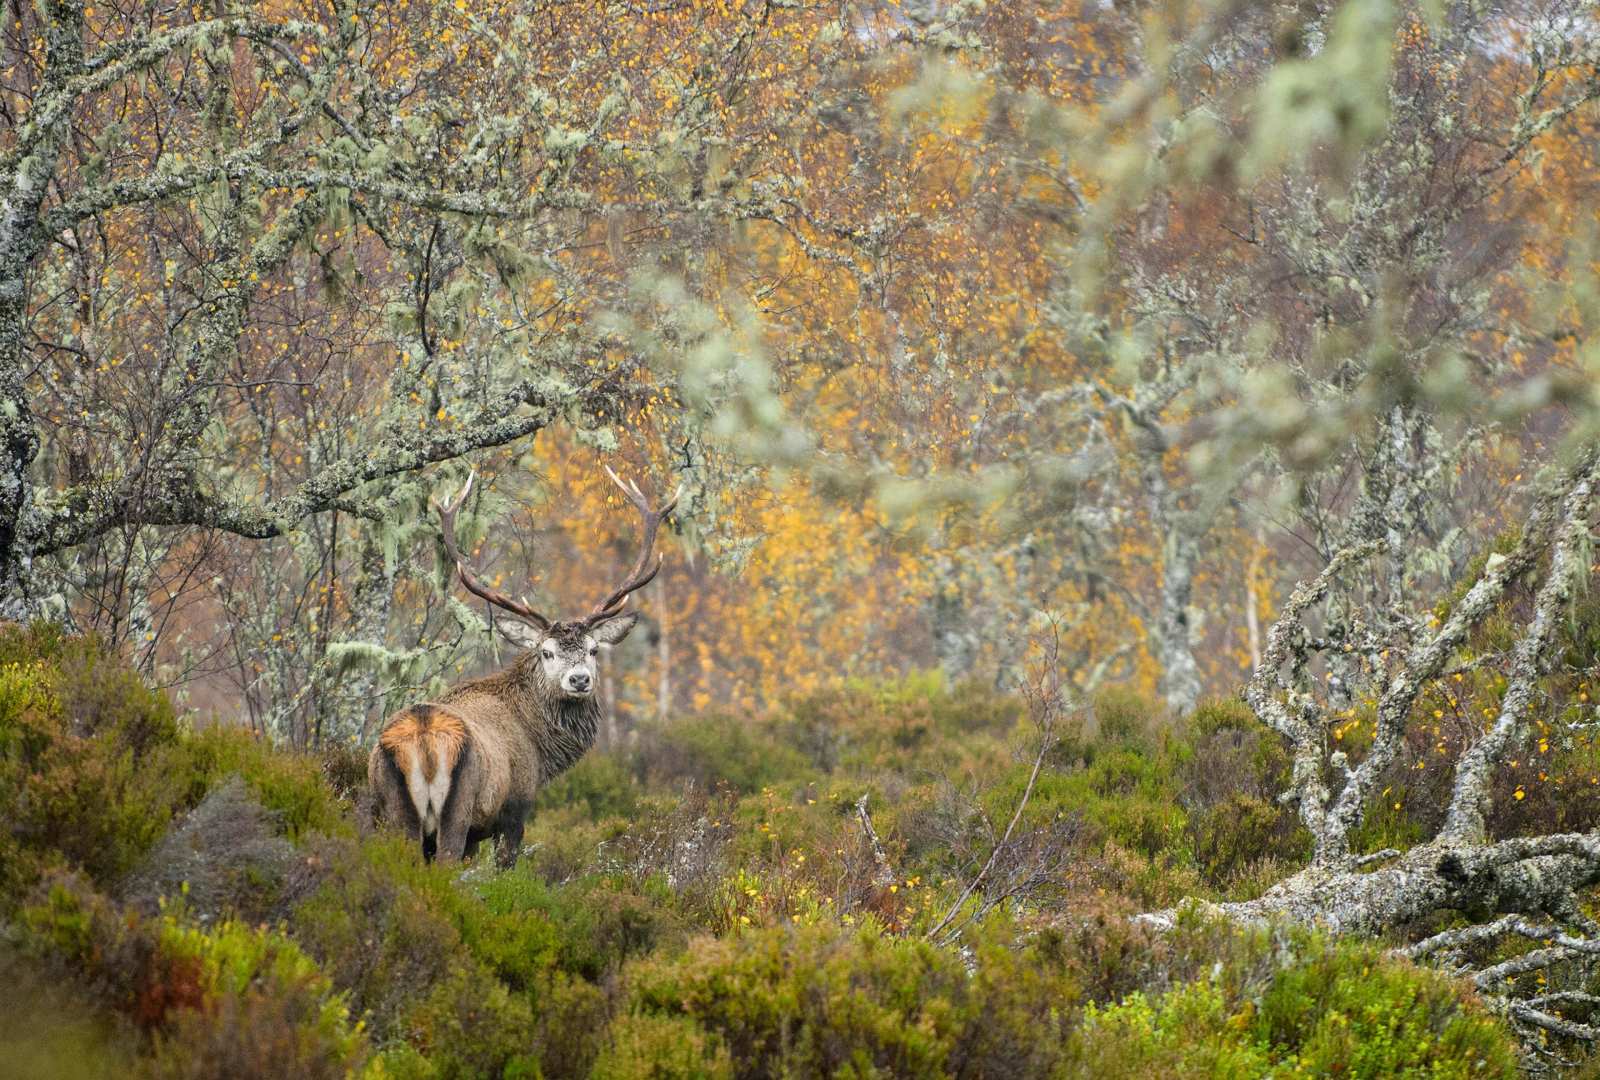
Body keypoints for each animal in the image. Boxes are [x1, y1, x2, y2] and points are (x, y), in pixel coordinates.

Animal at [367, 467, 680, 867]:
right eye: (546, 652)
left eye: (594, 650)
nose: (579, 680)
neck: (540, 747)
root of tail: (423, 739)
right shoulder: (515, 807)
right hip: (457, 809)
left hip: (392, 811)